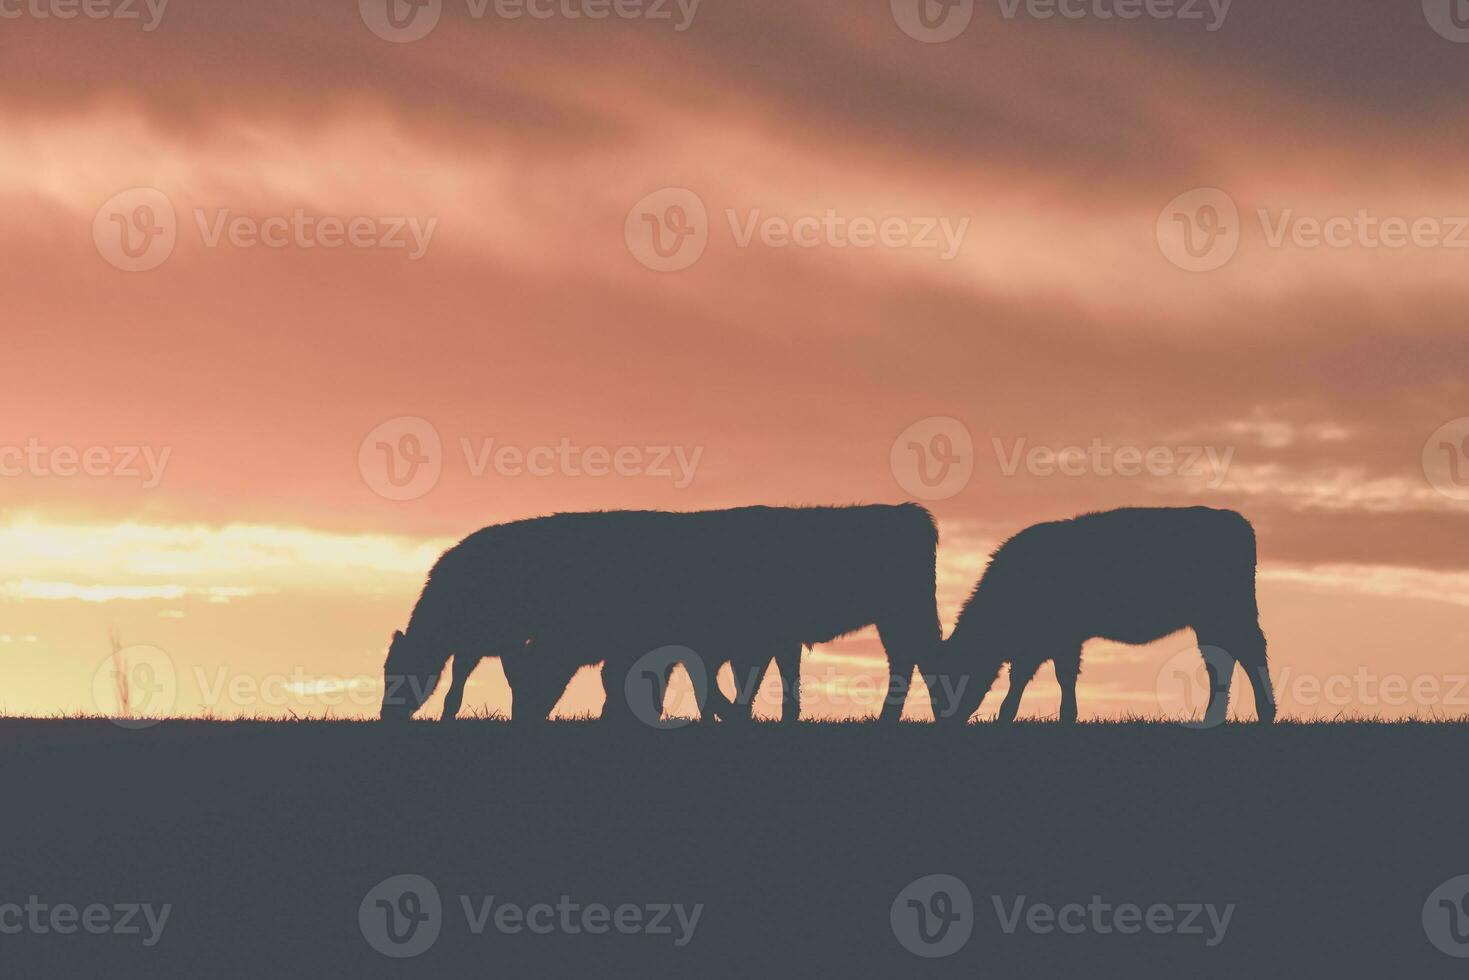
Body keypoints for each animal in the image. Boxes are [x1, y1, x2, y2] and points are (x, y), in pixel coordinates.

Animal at [940, 511, 1275, 725]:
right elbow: (1040, 678)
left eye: (953, 674)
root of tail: (1238, 521)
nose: (946, 718)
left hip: (1231, 615)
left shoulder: (1057, 641)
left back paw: (1264, 713)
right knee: (1222, 661)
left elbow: (1047, 677)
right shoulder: (1052, 644)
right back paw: (1215, 717)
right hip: (1211, 623)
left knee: (1250, 653)